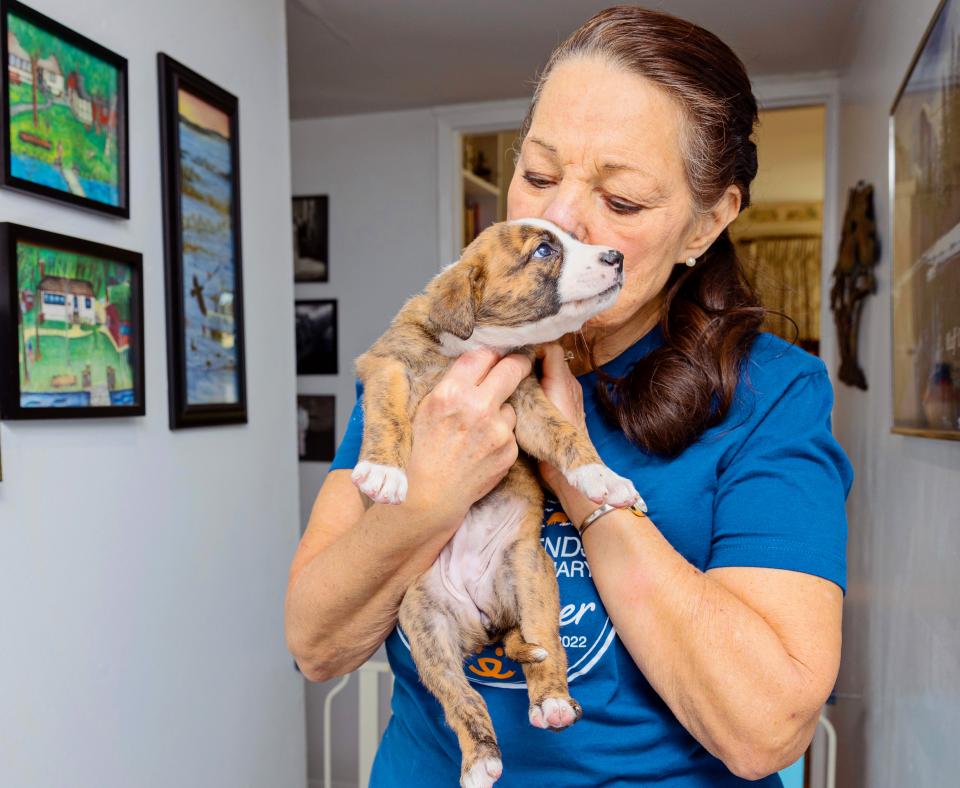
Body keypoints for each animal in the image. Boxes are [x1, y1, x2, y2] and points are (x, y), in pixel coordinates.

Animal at [350, 217, 636, 788]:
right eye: (545, 250)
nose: (616, 257)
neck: (475, 343)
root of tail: (486, 625)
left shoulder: (523, 400)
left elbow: (564, 433)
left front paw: (604, 478)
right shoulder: (386, 366)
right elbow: (387, 416)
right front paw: (384, 471)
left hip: (531, 580)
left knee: (544, 652)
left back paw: (551, 704)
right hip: (426, 625)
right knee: (459, 698)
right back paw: (480, 758)